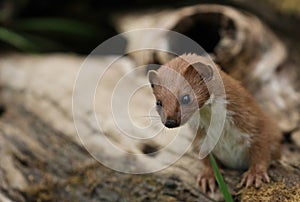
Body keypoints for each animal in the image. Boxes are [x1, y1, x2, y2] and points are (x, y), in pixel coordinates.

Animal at [149, 53, 282, 193]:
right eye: (158, 102)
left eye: (186, 97)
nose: (170, 121)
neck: (223, 133)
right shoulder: (200, 138)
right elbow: (205, 157)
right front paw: (208, 176)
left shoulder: (256, 123)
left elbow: (262, 149)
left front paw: (255, 174)